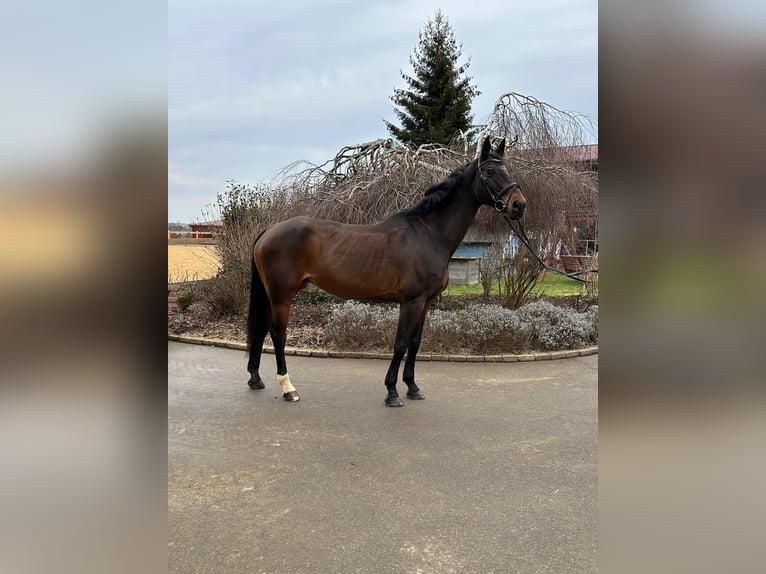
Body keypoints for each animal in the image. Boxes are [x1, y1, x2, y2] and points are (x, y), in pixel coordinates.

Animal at [246, 138, 528, 410]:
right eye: (490, 171)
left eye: (507, 168)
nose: (518, 206)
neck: (428, 234)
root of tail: (270, 229)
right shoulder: (411, 301)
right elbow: (400, 343)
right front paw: (392, 392)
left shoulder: (426, 302)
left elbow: (415, 343)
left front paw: (413, 387)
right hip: (282, 295)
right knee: (278, 334)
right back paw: (288, 388)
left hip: (272, 295)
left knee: (261, 330)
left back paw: (256, 379)